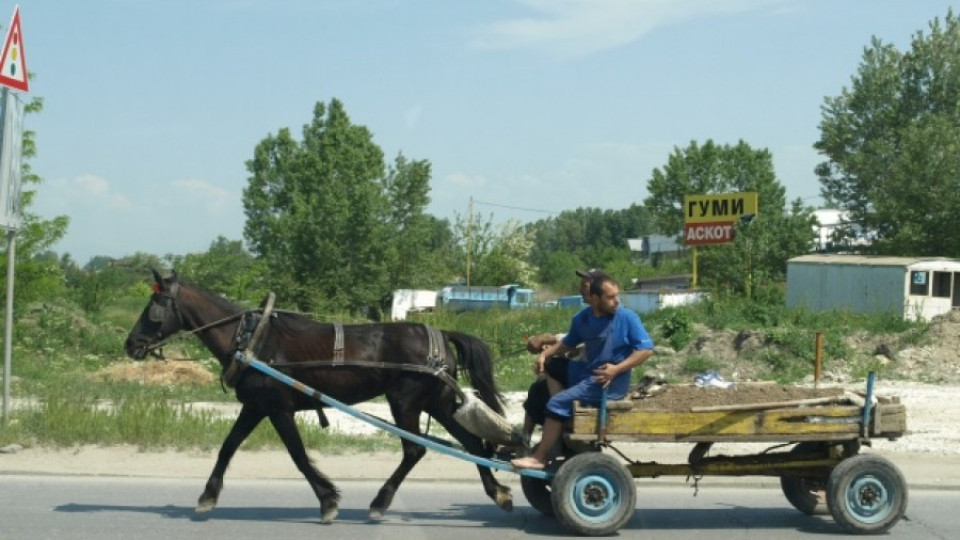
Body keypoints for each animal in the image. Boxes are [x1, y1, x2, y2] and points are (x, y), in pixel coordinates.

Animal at [124, 270, 512, 524]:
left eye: (154, 306)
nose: (130, 344)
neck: (251, 341)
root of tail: (441, 334)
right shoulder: (256, 406)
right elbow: (228, 447)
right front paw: (208, 496)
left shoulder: (277, 408)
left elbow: (297, 455)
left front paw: (327, 501)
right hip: (438, 402)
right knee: (473, 444)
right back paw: (498, 492)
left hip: (405, 402)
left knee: (415, 450)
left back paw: (380, 502)